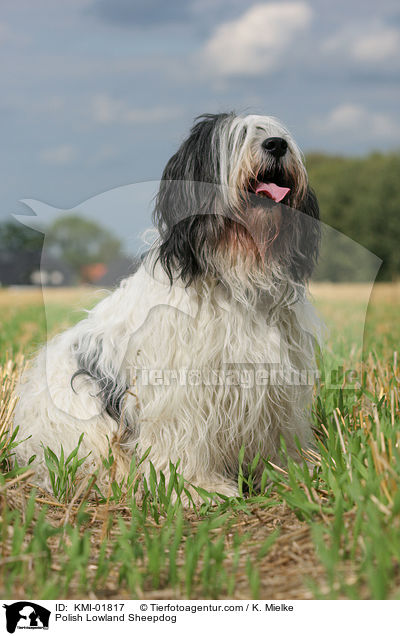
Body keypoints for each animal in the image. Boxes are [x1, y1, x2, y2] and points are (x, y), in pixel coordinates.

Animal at [14, 113, 322, 502]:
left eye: (277, 135)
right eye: (238, 137)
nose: (277, 145)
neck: (234, 273)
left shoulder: (275, 386)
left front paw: (290, 474)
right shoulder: (181, 388)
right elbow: (184, 437)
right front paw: (196, 487)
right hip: (81, 409)